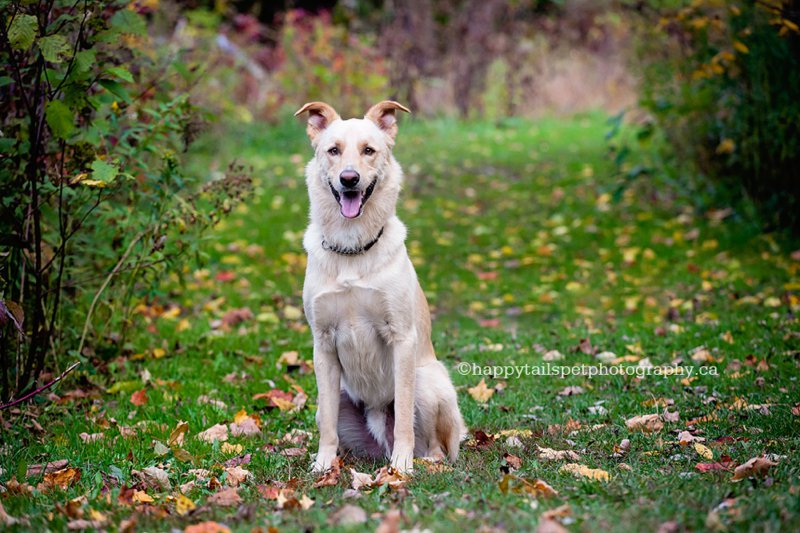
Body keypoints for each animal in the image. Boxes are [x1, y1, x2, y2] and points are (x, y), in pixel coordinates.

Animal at [296, 101, 466, 474]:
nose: (349, 179)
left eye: (368, 151)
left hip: (427, 382)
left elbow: (402, 416)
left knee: (433, 444)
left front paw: (402, 466)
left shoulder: (401, 338)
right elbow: (327, 424)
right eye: (333, 150)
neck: (352, 251)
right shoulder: (323, 344)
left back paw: (419, 460)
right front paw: (323, 465)